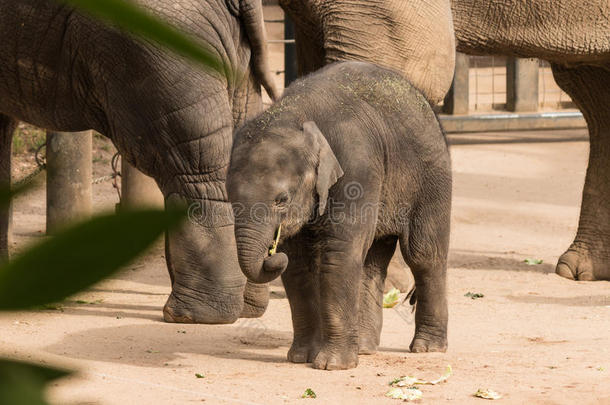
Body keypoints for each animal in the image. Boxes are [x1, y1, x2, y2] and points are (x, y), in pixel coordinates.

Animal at [226, 60, 448, 370]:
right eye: (230, 200)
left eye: (282, 200)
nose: (271, 251)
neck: (295, 114)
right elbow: (297, 263)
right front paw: (300, 358)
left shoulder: (356, 167)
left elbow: (338, 253)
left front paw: (331, 365)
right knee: (372, 260)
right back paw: (365, 348)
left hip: (431, 174)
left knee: (423, 254)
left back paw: (428, 348)